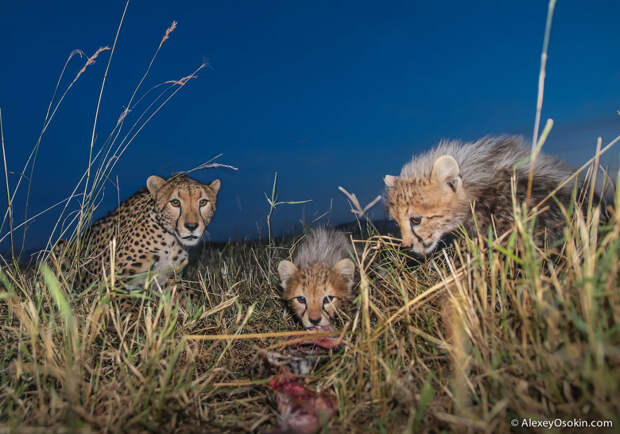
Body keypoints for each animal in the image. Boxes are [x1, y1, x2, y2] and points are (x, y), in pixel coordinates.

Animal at [55, 174, 220, 292]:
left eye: (203, 202)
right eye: (175, 202)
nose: (191, 226)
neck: (171, 240)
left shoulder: (169, 281)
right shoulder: (113, 279)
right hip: (62, 246)